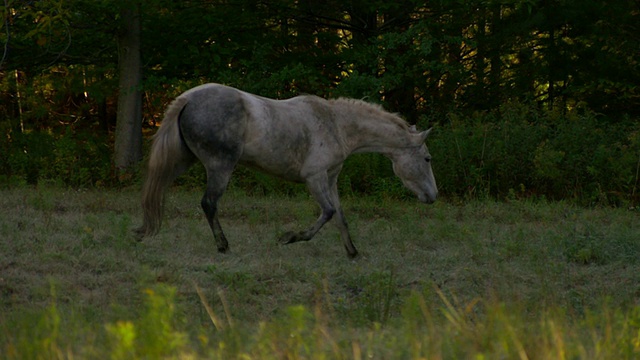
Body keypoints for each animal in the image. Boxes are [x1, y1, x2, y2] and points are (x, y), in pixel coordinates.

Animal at [134, 83, 436, 258]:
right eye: (427, 158)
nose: (433, 196)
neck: (336, 125)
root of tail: (188, 98)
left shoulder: (330, 179)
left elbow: (340, 217)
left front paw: (352, 252)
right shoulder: (315, 178)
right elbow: (327, 213)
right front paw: (289, 238)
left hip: (181, 161)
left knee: (157, 192)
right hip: (220, 167)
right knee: (209, 203)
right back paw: (223, 246)